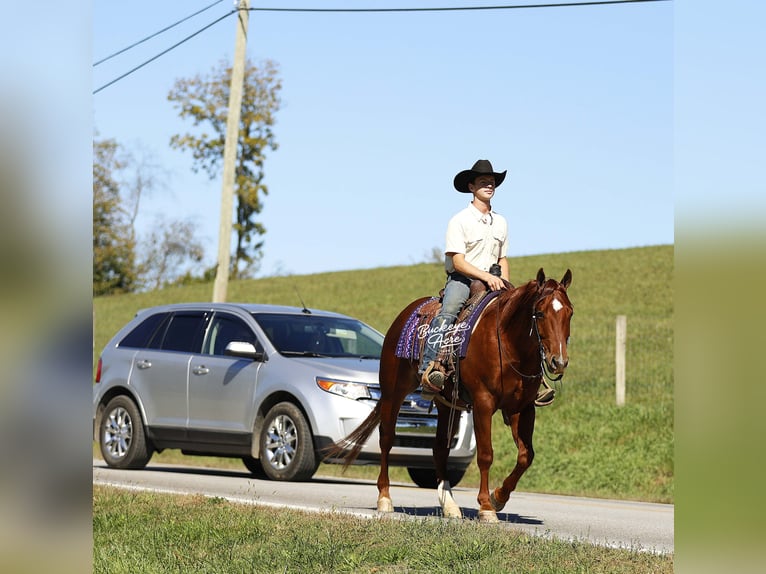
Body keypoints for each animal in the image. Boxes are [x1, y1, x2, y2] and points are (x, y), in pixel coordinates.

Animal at [326, 268, 573, 523]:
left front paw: (498, 498)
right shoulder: (483, 402)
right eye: (540, 313)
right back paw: (385, 498)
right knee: (387, 438)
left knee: (440, 448)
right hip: (393, 392)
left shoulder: (522, 407)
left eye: (570, 313)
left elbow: (526, 456)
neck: (507, 342)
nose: (559, 362)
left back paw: (450, 506)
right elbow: (486, 454)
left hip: (447, 404)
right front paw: (486, 507)